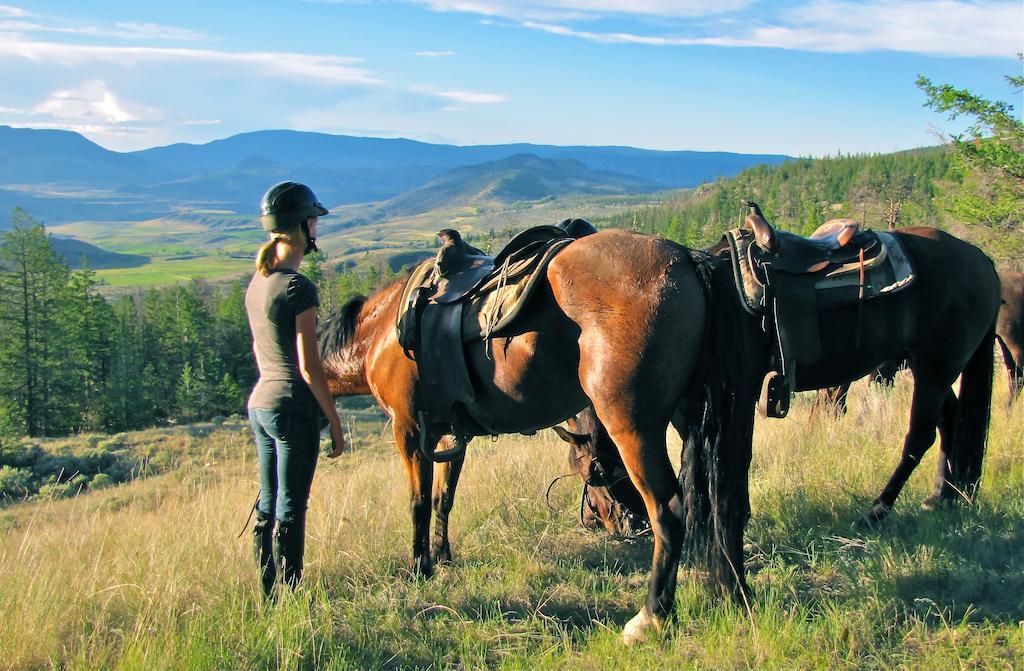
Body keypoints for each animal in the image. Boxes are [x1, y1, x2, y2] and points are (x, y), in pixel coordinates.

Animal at [315, 231, 765, 647]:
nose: (628, 524)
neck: (378, 333)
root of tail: (688, 258)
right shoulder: (450, 436)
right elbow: (443, 499)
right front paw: (442, 558)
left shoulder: (408, 431)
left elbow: (418, 502)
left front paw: (419, 568)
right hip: (693, 416)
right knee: (725, 503)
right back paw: (732, 594)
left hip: (634, 426)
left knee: (670, 510)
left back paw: (651, 617)